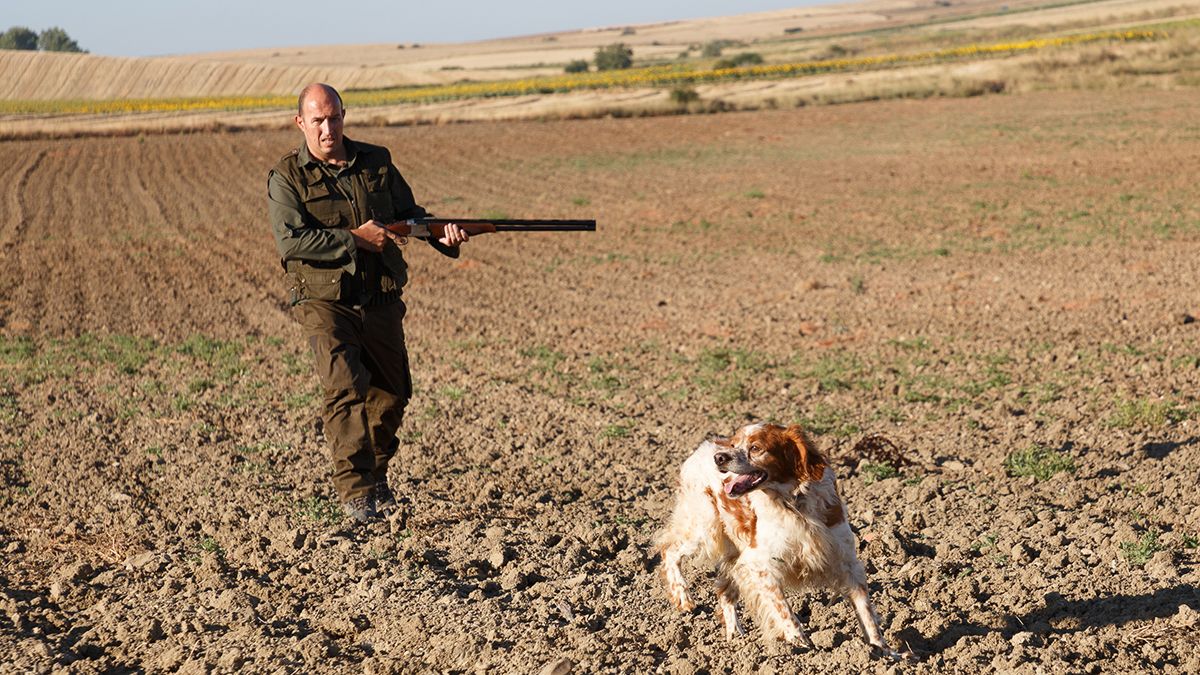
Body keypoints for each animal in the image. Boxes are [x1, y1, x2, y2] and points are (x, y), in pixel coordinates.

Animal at [652, 420, 897, 653]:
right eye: (734, 444)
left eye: (755, 448)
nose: (719, 458)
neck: (794, 503)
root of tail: (703, 447)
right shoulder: (760, 565)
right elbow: (785, 611)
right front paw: (802, 646)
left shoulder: (846, 561)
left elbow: (866, 611)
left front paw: (883, 651)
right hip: (704, 529)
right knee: (669, 550)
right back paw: (683, 597)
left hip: (732, 552)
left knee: (724, 591)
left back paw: (735, 637)